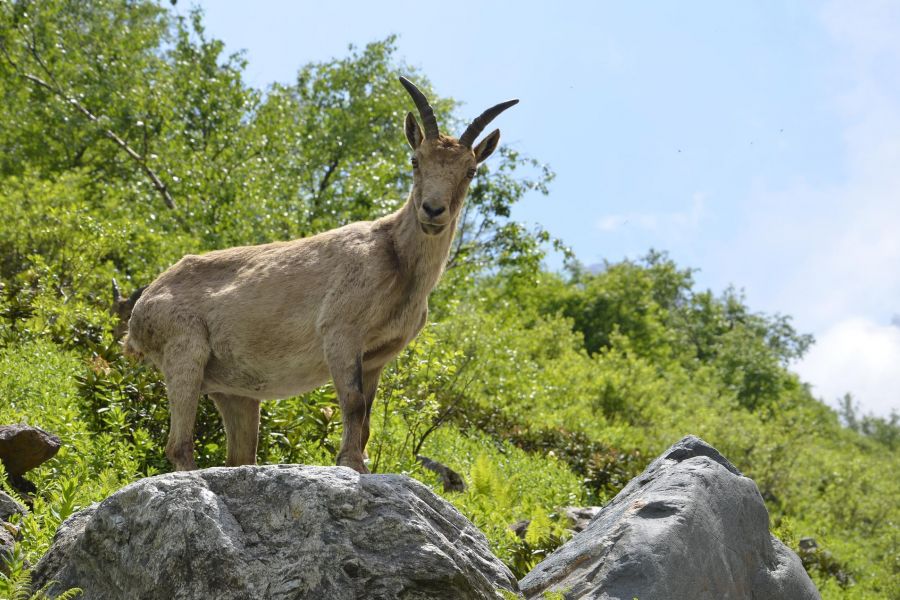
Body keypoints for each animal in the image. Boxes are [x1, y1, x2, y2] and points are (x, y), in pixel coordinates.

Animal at [125, 76, 520, 474]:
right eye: (415, 160)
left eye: (470, 170)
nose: (433, 211)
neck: (397, 259)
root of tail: (141, 308)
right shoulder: (341, 330)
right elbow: (353, 403)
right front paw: (351, 465)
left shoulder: (377, 355)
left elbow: (367, 417)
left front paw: (359, 463)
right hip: (184, 350)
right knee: (179, 444)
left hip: (233, 392)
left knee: (238, 455)